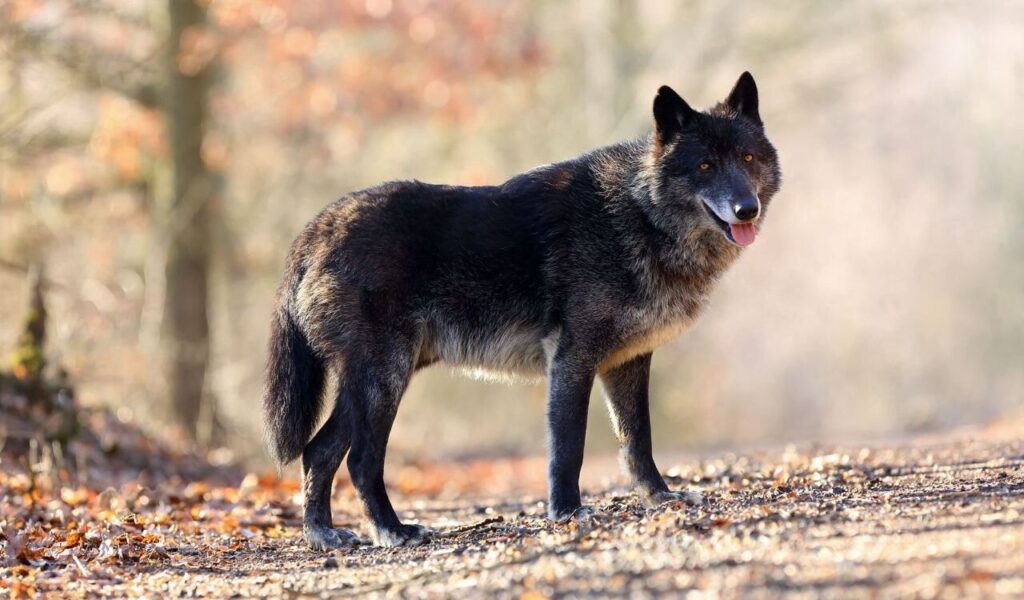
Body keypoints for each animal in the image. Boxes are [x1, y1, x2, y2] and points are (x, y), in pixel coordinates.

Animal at [263, 72, 781, 550]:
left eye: (747, 159)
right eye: (705, 165)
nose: (746, 208)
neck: (639, 215)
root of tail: (316, 228)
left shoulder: (628, 363)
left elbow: (638, 442)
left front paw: (660, 498)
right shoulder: (572, 358)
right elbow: (569, 446)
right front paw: (567, 511)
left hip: (373, 382)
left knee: (317, 451)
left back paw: (324, 535)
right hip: (384, 380)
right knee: (360, 460)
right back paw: (393, 530)